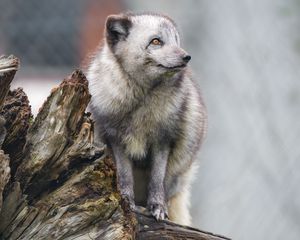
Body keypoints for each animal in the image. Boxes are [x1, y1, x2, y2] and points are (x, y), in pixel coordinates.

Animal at [88, 12, 207, 226]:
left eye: (176, 40)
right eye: (156, 41)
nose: (186, 57)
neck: (142, 97)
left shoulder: (163, 140)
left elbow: (157, 178)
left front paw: (158, 208)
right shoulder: (115, 139)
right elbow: (125, 176)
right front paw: (126, 200)